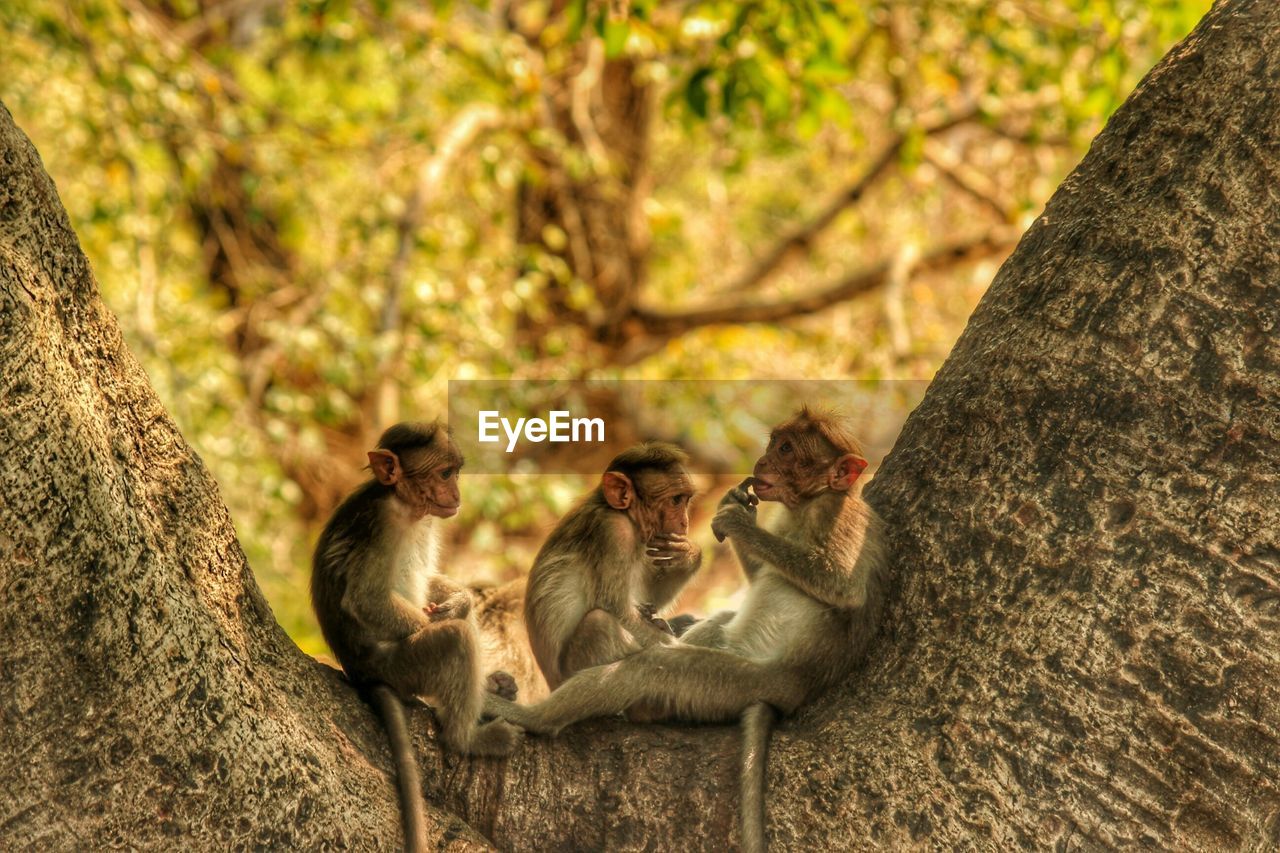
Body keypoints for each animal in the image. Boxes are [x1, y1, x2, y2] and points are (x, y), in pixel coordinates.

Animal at [312, 420, 522, 850]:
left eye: (455, 472)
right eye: (444, 474)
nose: (456, 493)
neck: (406, 508)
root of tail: (362, 673)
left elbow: (436, 588)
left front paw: (460, 598)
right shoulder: (379, 524)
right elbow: (366, 599)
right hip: (402, 666)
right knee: (454, 639)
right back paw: (467, 737)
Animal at [519, 440, 706, 686]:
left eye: (686, 500)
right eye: (675, 500)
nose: (685, 522)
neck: (624, 514)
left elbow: (649, 597)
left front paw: (688, 555)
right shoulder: (613, 531)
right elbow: (618, 611)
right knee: (600, 623)